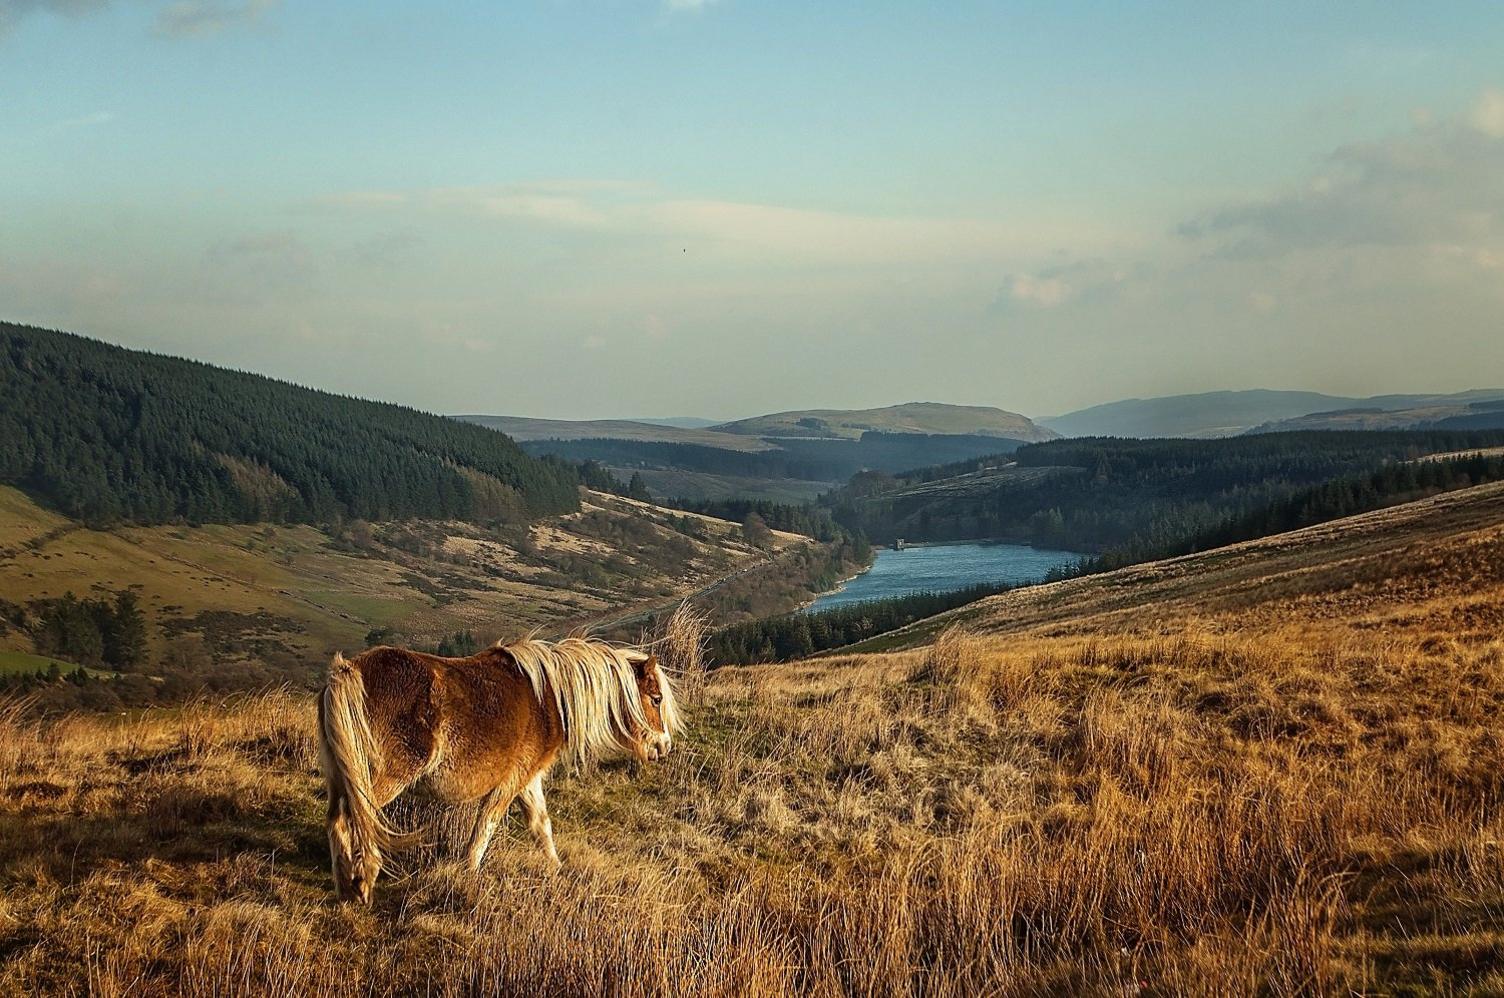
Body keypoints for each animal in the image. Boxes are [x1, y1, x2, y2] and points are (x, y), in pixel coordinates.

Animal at [317, 640, 682, 901]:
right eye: (656, 698)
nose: (663, 746)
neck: (550, 698)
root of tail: (348, 671)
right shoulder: (510, 782)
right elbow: (485, 828)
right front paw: (469, 874)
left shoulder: (528, 780)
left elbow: (540, 825)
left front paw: (556, 869)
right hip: (380, 779)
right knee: (357, 817)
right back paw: (364, 881)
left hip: (340, 775)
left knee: (336, 820)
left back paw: (344, 884)